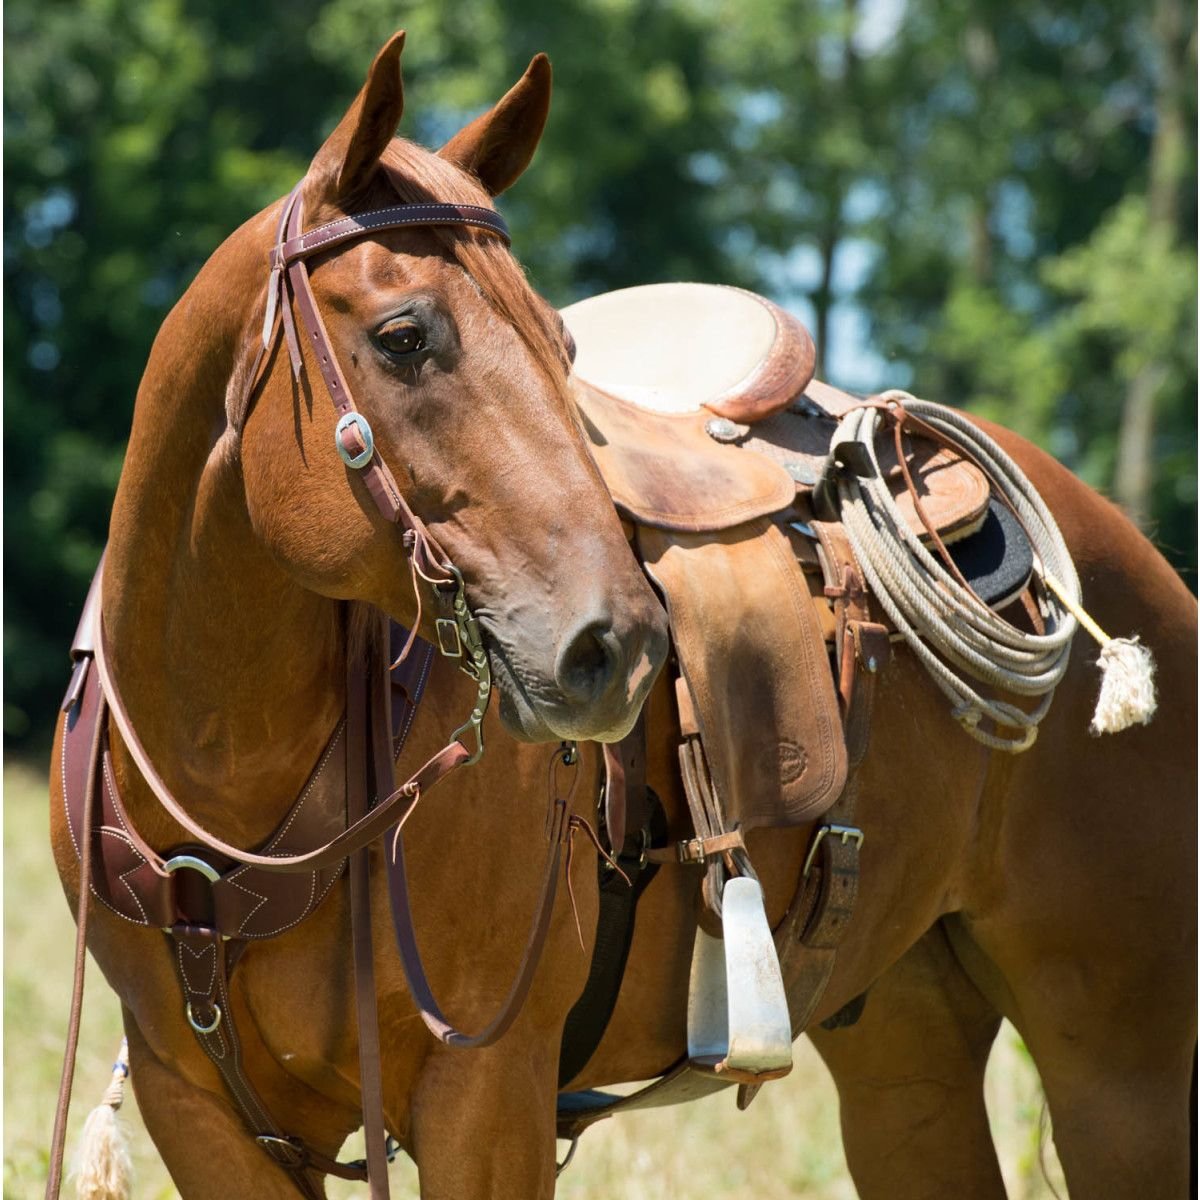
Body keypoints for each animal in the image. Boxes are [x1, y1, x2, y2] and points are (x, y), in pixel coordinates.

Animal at [51, 28, 1195, 1200]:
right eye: (405, 335)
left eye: (562, 349)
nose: (618, 647)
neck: (227, 783)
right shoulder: (198, 1113)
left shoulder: (488, 1095)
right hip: (905, 1046)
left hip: (1122, 1064)